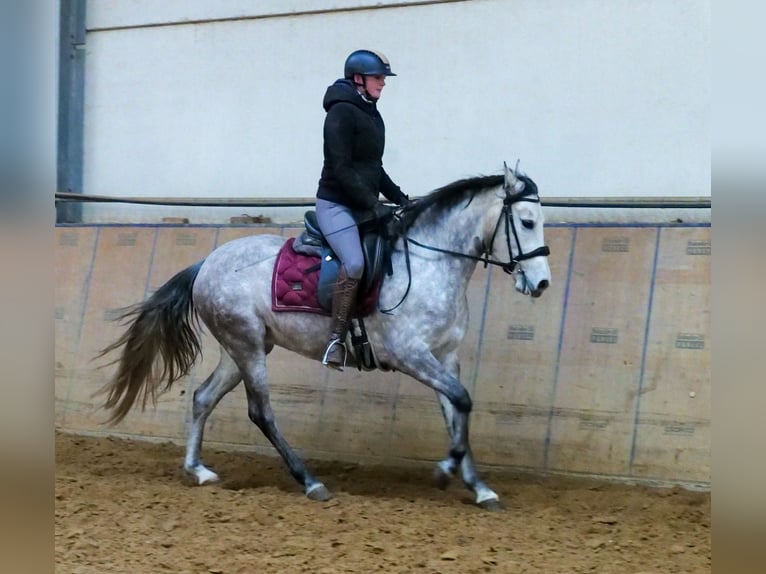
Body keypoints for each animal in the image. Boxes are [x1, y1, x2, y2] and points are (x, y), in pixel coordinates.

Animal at [96, 164, 552, 510]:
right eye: (527, 222)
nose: (542, 283)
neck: (430, 263)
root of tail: (207, 262)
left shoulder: (445, 356)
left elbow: (456, 411)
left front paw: (479, 487)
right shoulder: (410, 354)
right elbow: (462, 401)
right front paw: (444, 472)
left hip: (241, 348)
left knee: (203, 397)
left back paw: (198, 470)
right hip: (247, 346)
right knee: (260, 412)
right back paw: (310, 481)